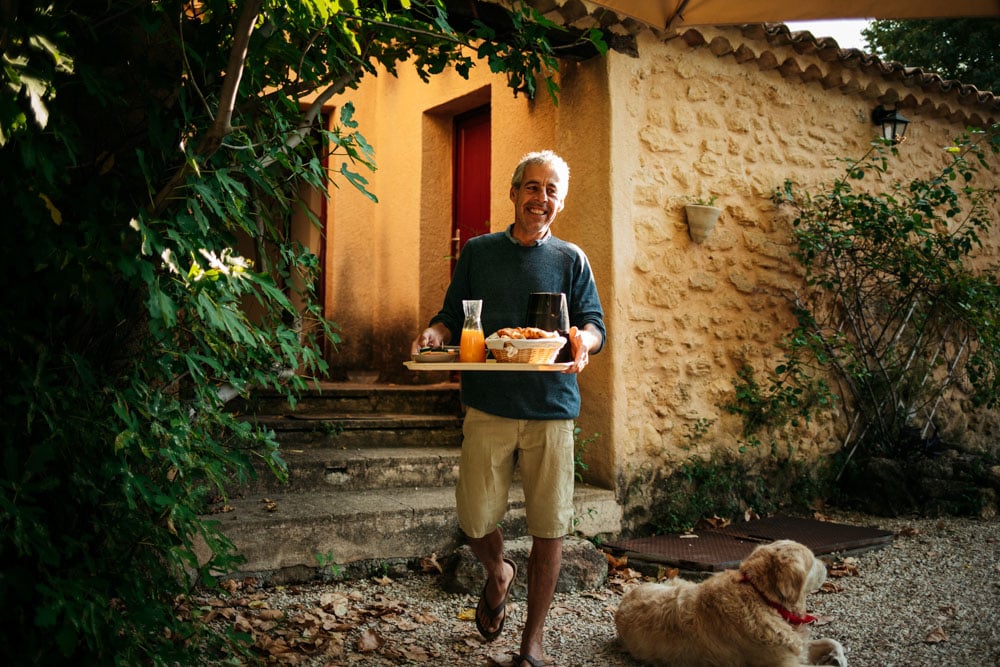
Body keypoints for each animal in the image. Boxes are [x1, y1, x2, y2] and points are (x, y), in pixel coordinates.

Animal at [612, 540, 848, 664]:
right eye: (813, 560)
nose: (828, 564)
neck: (761, 597)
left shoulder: (798, 649)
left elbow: (831, 641)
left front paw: (837, 657)